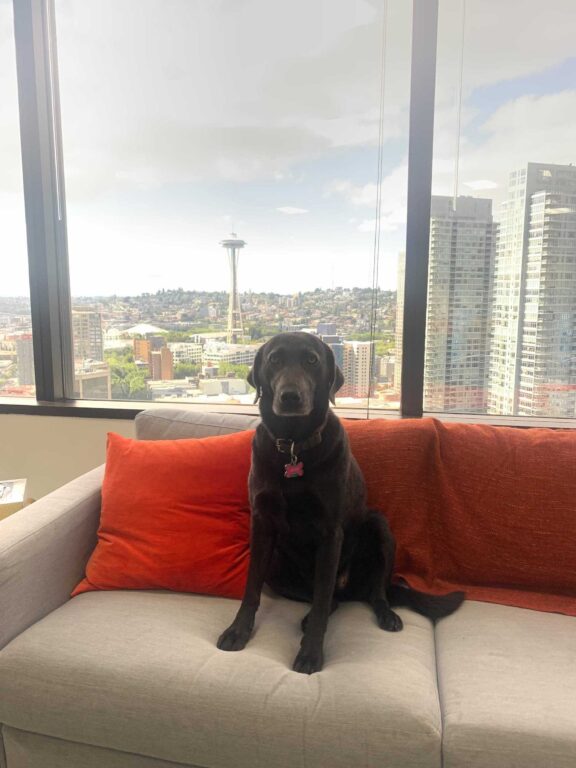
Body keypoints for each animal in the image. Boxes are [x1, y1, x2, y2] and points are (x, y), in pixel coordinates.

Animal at [216, 330, 464, 672]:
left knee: (371, 592)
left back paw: (386, 614)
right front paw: (237, 631)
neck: (294, 448)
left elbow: (322, 601)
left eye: (312, 360)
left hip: (378, 528)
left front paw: (310, 654)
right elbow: (252, 588)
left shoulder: (330, 532)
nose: (290, 397)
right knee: (330, 598)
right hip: (278, 568)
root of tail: (350, 588)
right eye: (274, 359)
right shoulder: (262, 524)